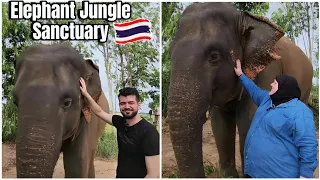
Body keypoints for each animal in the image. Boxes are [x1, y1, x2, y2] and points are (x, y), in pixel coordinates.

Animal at [166, 2, 314, 178]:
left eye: (214, 56)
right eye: (170, 54)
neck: (243, 17)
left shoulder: (269, 71)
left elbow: (249, 120)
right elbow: (220, 125)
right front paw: (229, 176)